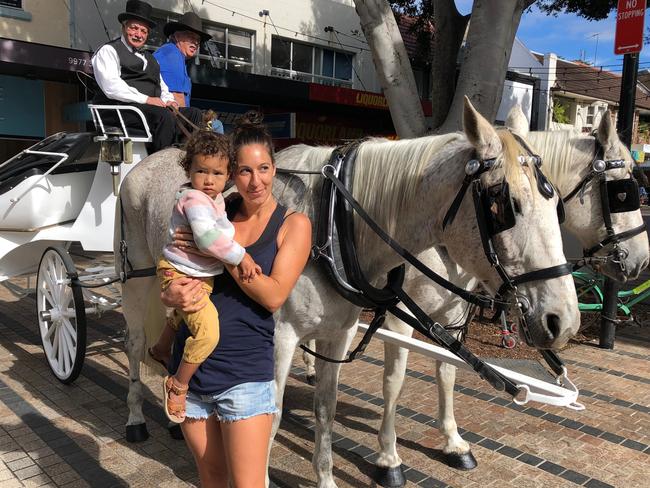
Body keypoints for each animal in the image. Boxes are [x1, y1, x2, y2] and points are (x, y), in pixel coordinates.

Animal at [116, 99, 576, 488]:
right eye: (505, 205)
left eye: (557, 204)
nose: (565, 322)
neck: (332, 223)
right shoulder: (280, 339)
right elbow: (272, 416)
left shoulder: (341, 333)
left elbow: (328, 407)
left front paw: (326, 477)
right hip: (137, 278)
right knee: (135, 342)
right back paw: (137, 417)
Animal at [316, 107, 648, 484]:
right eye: (622, 193)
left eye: (556, 207)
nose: (642, 260)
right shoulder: (401, 314)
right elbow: (394, 381)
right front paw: (389, 457)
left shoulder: (454, 315)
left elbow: (448, 371)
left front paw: (453, 442)